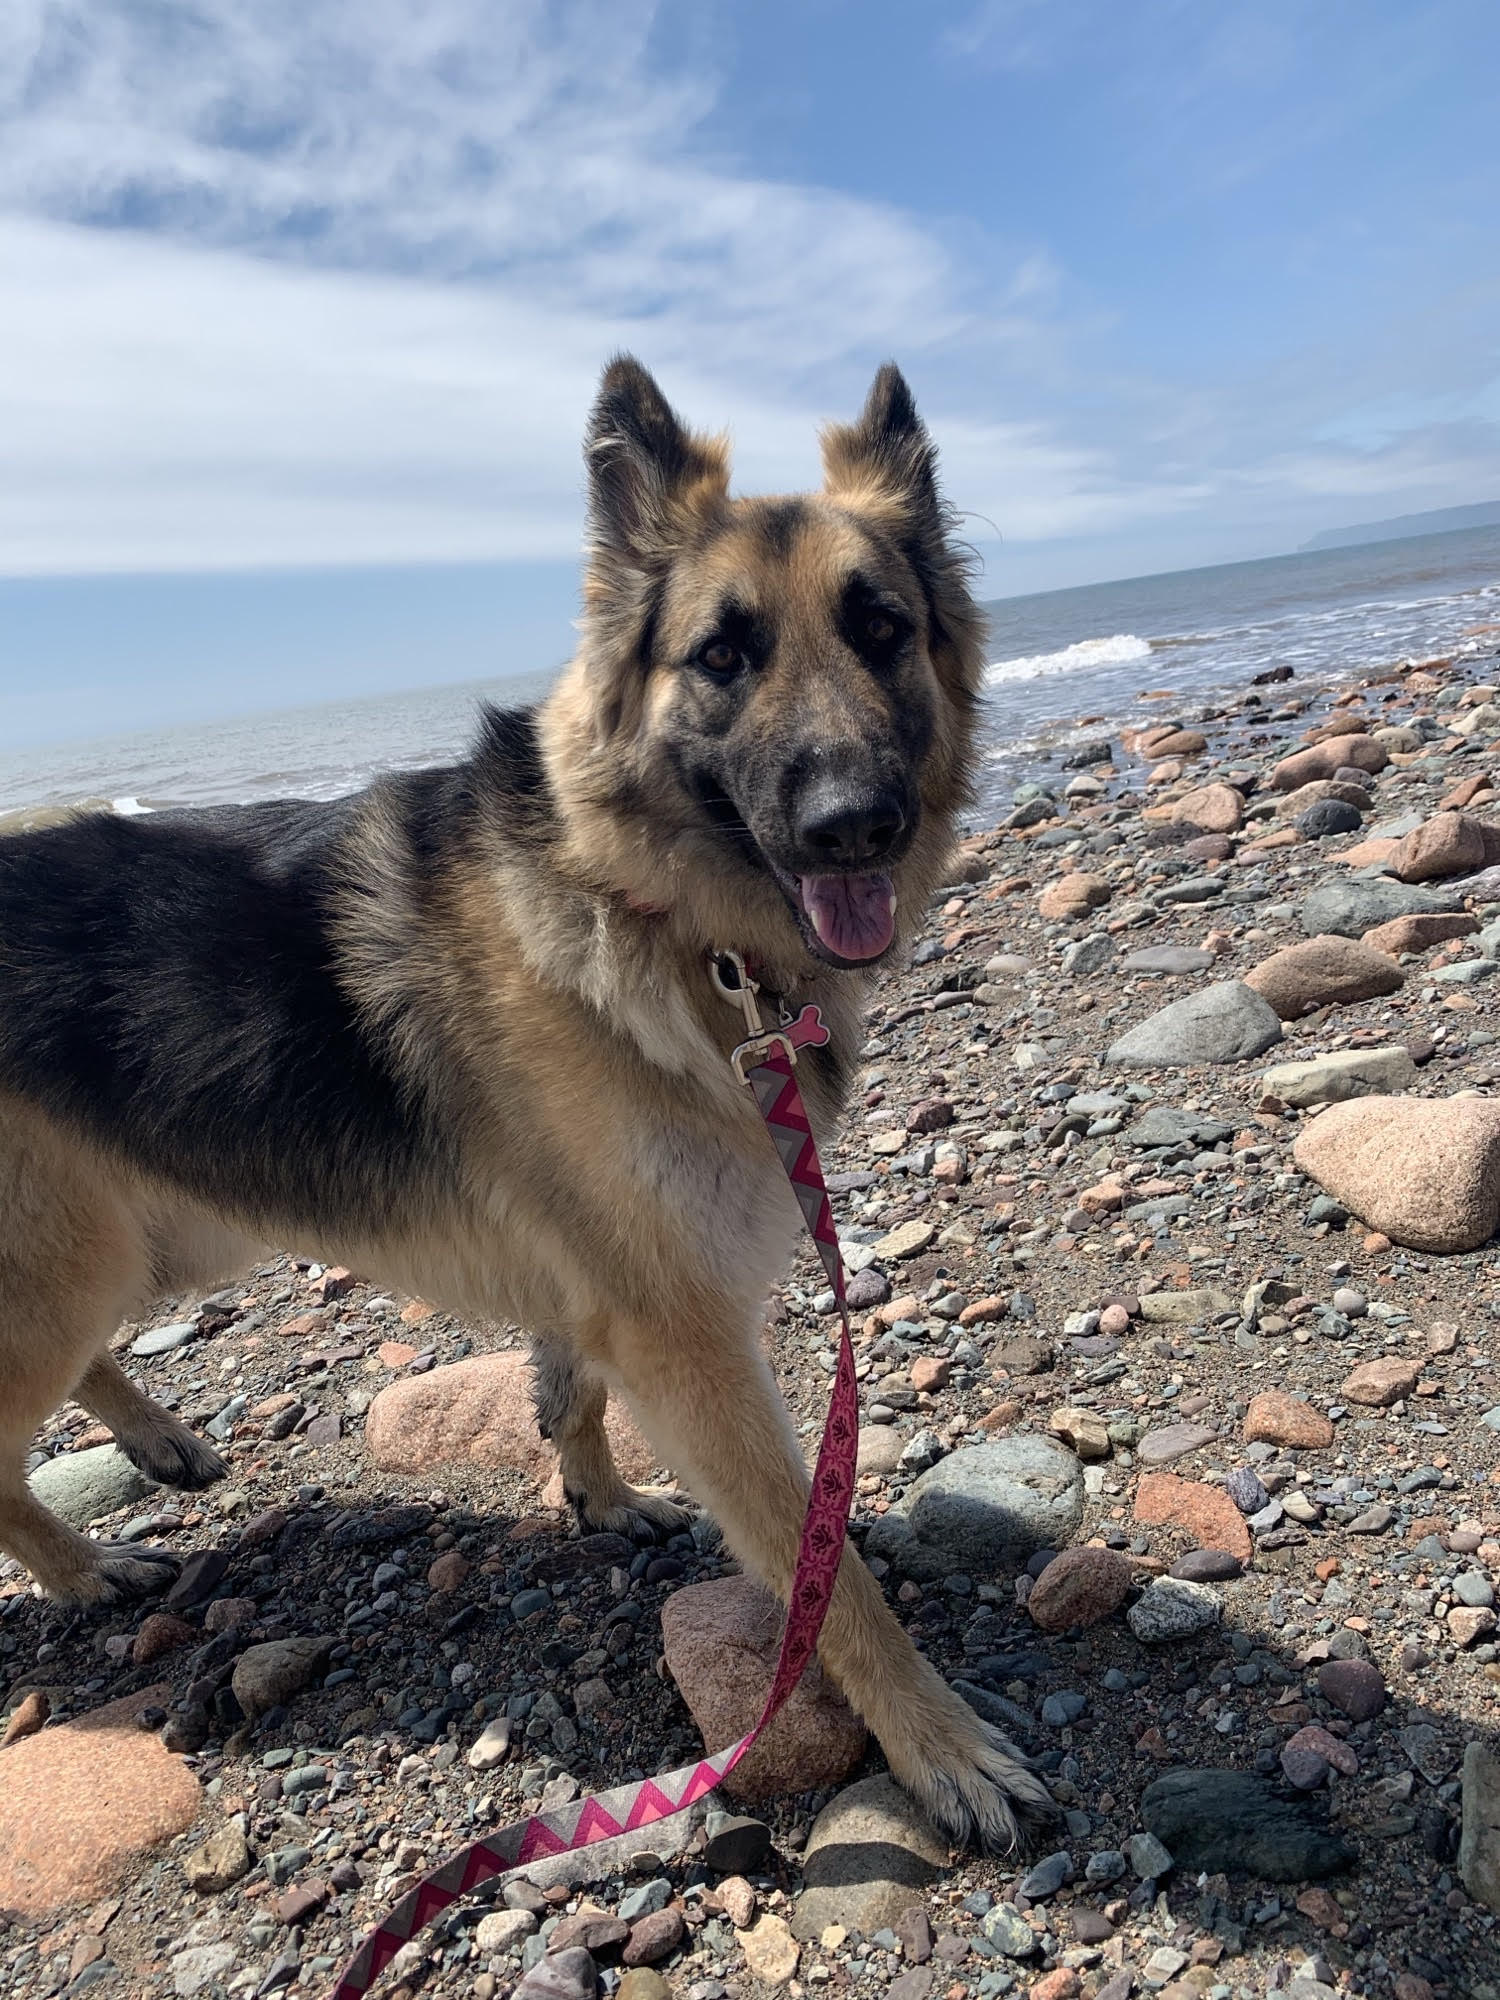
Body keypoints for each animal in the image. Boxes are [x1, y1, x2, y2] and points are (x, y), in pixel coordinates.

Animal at [0, 358, 1054, 1848]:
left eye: (884, 628)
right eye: (721, 656)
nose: (857, 824)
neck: (652, 910)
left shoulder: (614, 1287)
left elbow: (574, 1387)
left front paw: (601, 1497)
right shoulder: (687, 1334)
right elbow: (828, 1571)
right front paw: (938, 1741)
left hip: (151, 1234)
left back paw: (160, 1440)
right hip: (68, 1258)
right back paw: (84, 1569)